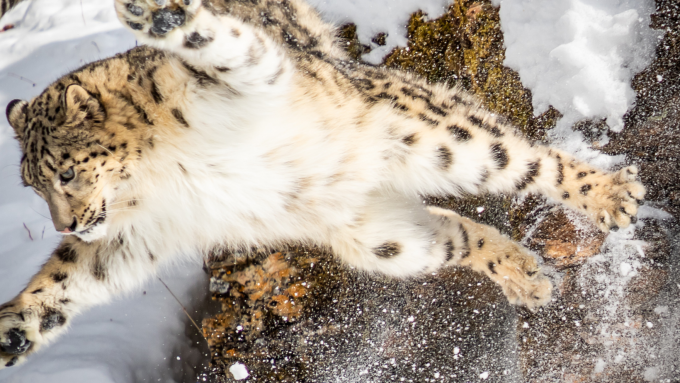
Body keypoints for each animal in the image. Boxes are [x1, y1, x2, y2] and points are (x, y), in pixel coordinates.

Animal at [0, 0, 644, 368]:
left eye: (66, 171)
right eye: (33, 186)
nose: (69, 223)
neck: (154, 184)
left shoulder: (248, 76)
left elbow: (223, 45)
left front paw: (158, 18)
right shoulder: (133, 234)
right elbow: (69, 278)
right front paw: (13, 332)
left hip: (440, 138)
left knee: (524, 158)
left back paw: (610, 195)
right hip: (384, 241)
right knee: (450, 228)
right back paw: (522, 274)